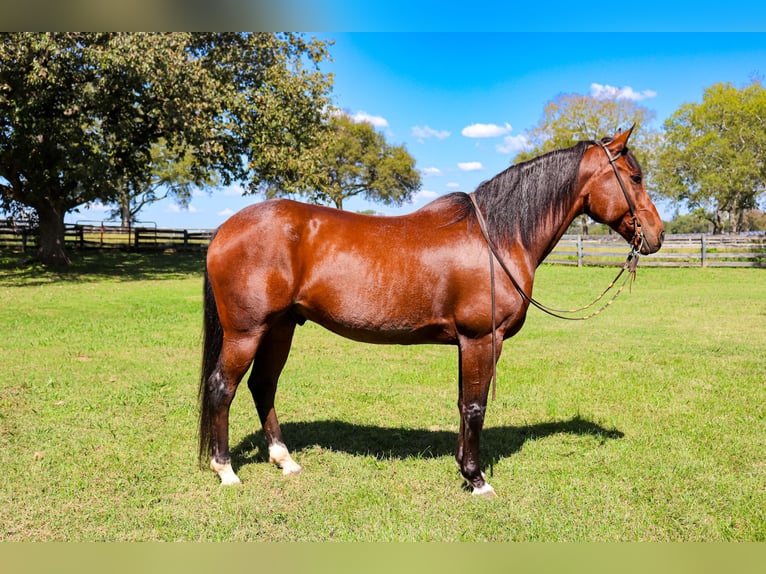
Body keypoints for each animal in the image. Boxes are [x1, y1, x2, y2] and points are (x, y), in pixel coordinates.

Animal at [198, 128, 664, 498]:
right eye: (635, 177)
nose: (657, 235)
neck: (498, 237)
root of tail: (224, 230)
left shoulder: (468, 343)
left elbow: (463, 403)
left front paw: (463, 467)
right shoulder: (482, 339)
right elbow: (475, 406)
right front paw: (477, 479)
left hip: (280, 328)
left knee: (263, 386)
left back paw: (284, 460)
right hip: (247, 331)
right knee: (223, 387)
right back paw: (226, 470)